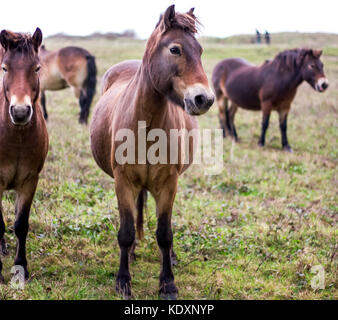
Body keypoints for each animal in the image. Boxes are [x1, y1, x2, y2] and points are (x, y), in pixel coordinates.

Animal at [90, 5, 214, 300]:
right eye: (175, 49)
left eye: (200, 50)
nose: (204, 99)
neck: (146, 125)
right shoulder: (123, 182)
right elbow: (125, 232)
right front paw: (123, 281)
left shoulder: (169, 184)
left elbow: (164, 233)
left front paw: (168, 283)